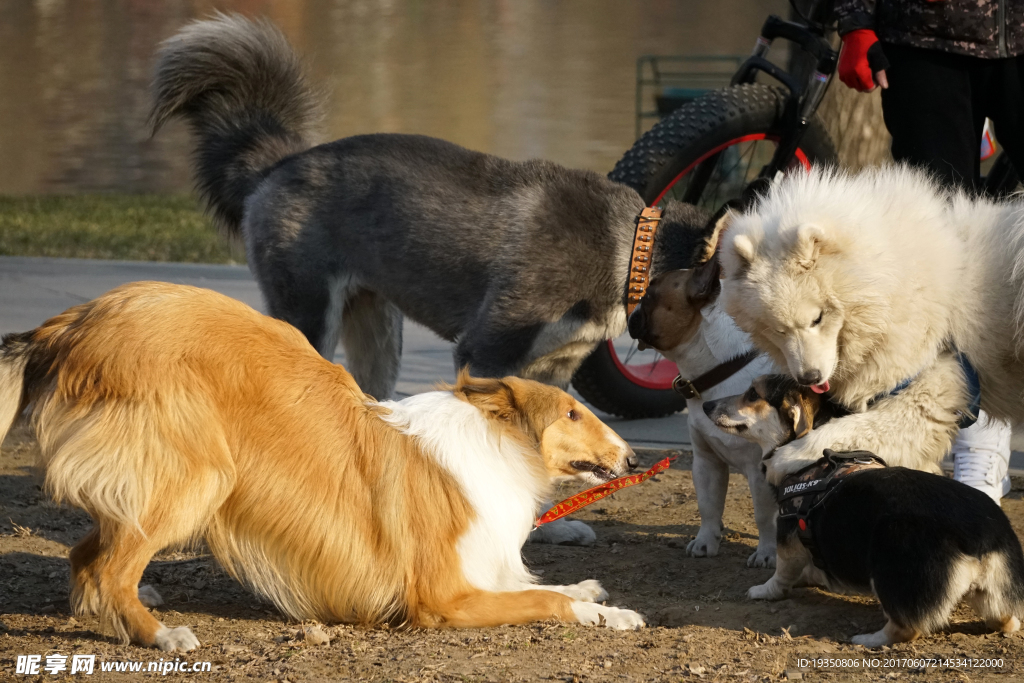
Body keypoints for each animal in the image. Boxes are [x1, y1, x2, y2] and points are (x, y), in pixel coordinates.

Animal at [0, 282, 643, 651]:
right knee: (109, 566)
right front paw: (602, 611)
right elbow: (545, 601)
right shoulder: (445, 597)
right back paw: (161, 635)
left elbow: (542, 585)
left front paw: (596, 597)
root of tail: (71, 322)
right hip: (199, 476)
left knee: (88, 555)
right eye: (571, 412)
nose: (634, 456)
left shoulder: (480, 572)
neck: (496, 447)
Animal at [151, 14, 708, 401]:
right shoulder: (485, 351)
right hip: (310, 315)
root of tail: (279, 163)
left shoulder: (553, 367)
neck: (631, 246)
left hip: (377, 331)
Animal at [704, 376, 1024, 651]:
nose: (706, 405)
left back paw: (868, 639)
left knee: (905, 627)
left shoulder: (788, 537)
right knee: (1005, 619)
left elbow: (781, 575)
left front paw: (764, 590)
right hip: (992, 594)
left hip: (891, 570)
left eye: (752, 394)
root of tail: (983, 535)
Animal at [720, 165, 1024, 483]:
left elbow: (846, 430)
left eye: (818, 318)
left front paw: (786, 458)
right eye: (778, 330)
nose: (809, 377)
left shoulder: (927, 391)